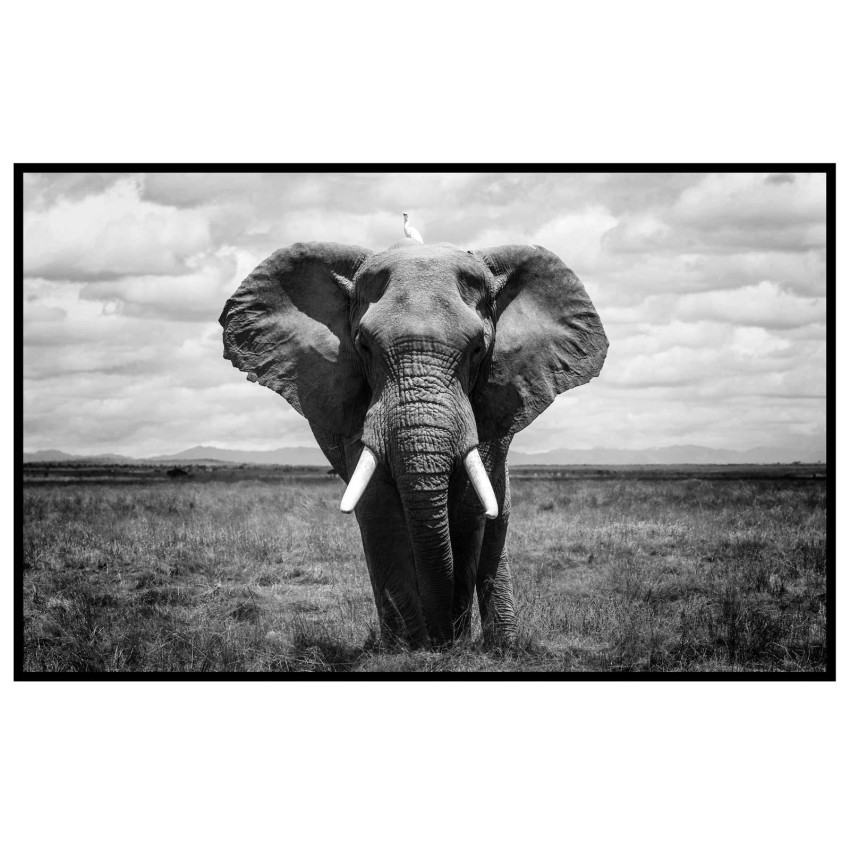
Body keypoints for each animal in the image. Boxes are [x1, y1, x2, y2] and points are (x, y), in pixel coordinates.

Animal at [219, 237, 608, 649]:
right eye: (364, 347)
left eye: (477, 349)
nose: (441, 640)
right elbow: (379, 508)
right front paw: (408, 649)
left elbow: (468, 509)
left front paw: (450, 643)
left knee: (496, 514)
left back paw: (504, 646)